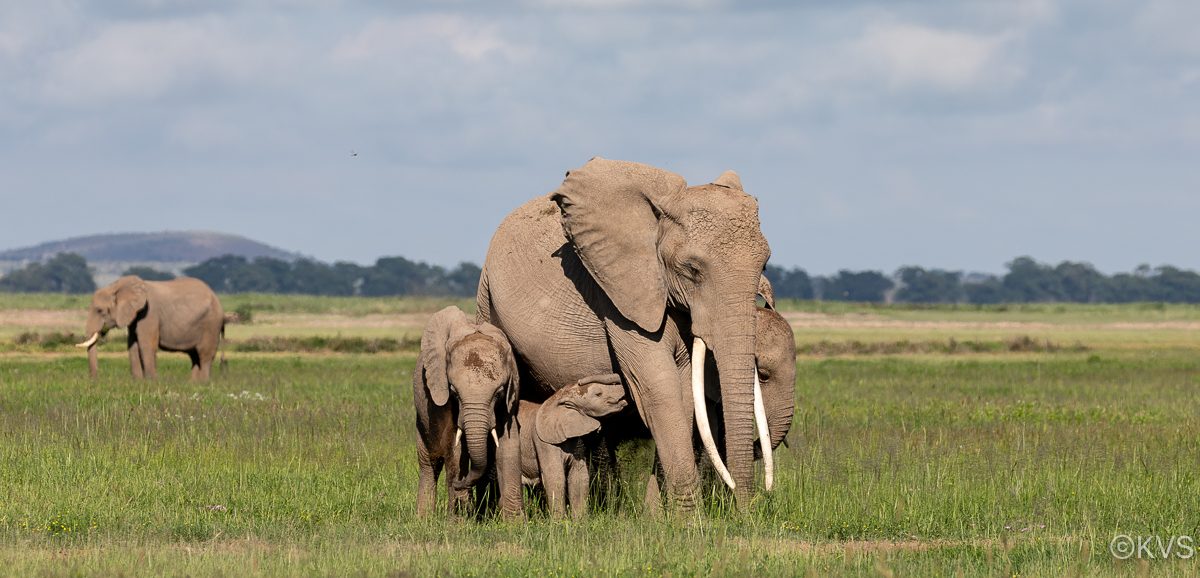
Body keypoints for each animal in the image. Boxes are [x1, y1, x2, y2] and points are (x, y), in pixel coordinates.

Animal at [76, 275, 225, 380]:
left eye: (100, 311)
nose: (95, 380)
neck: (116, 286)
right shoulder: (135, 316)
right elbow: (132, 345)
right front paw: (138, 381)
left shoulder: (149, 313)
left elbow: (146, 345)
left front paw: (152, 381)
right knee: (194, 356)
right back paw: (193, 383)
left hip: (211, 324)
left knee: (204, 354)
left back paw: (203, 383)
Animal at [412, 306, 522, 518]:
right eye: (454, 392)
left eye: (499, 393)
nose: (459, 483)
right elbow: (454, 449)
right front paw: (458, 519)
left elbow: (508, 443)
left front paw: (515, 522)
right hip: (422, 416)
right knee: (430, 461)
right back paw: (424, 519)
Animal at [518, 373, 628, 519]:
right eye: (598, 394)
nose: (580, 380)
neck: (558, 398)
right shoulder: (543, 442)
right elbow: (555, 476)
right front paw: (559, 521)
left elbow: (579, 477)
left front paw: (580, 521)